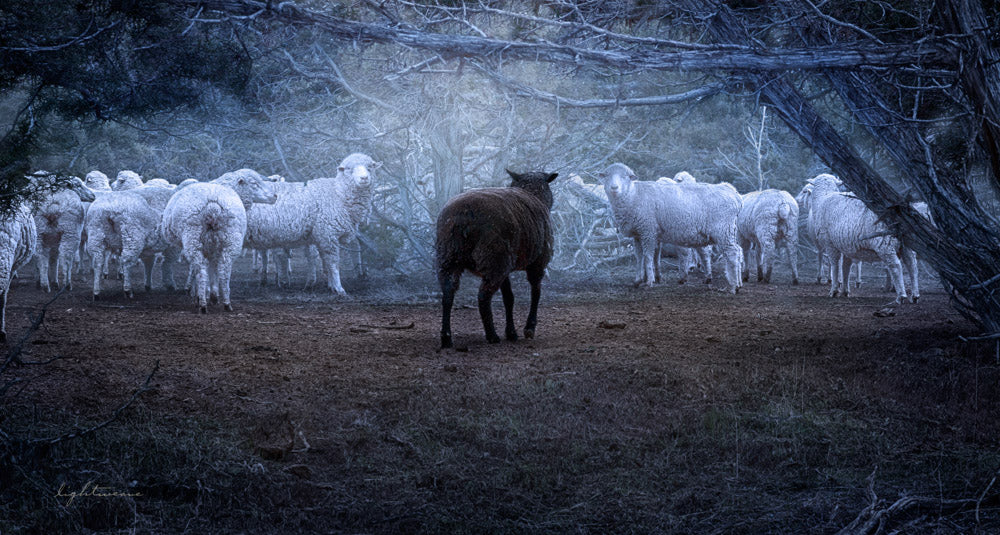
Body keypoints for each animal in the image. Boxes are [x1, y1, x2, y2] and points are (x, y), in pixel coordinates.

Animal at [160, 169, 277, 312]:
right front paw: (210, 294)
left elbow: (203, 269)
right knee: (223, 270)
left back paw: (204, 304)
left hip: (194, 239)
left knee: (202, 270)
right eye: (254, 183)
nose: (275, 196)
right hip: (228, 239)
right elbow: (211, 268)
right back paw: (224, 302)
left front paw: (202, 294)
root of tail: (213, 206)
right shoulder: (213, 246)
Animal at [242, 153, 379, 296]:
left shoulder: (320, 236)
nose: (364, 178)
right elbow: (333, 263)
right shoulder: (328, 234)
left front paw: (331, 286)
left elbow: (325, 261)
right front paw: (339, 288)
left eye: (370, 167)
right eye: (349, 169)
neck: (338, 194)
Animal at [437, 169, 557, 348]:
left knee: (447, 294)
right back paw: (492, 335)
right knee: (483, 297)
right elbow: (536, 292)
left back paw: (446, 338)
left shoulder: (507, 266)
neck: (533, 192)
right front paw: (529, 328)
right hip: (493, 258)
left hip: (449, 257)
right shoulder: (538, 262)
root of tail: (463, 215)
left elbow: (509, 298)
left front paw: (511, 332)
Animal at [598, 163, 743, 293]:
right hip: (731, 230)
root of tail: (735, 195)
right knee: (737, 250)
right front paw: (638, 280)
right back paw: (736, 283)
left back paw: (733, 287)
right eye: (608, 176)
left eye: (624, 177)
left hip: (723, 229)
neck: (633, 195)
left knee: (732, 253)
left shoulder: (648, 231)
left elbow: (648, 257)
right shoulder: (638, 234)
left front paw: (649, 282)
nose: (614, 187)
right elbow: (639, 257)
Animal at [796, 174, 917, 303]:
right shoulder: (845, 245)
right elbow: (846, 267)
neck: (823, 198)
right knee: (912, 265)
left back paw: (901, 296)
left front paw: (834, 290)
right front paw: (845, 290)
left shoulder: (830, 243)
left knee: (895, 266)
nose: (797, 200)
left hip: (884, 242)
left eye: (804, 190)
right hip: (907, 243)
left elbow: (835, 265)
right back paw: (915, 295)